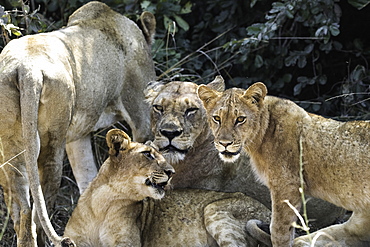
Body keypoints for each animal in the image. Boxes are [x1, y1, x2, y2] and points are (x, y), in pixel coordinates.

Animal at [0, 2, 156, 247]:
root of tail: (28, 69)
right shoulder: (142, 118)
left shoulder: (78, 137)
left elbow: (87, 178)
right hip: (52, 140)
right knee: (41, 206)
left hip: (11, 143)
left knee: (22, 211)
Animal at [63, 129, 272, 247]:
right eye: (148, 154)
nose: (171, 172)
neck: (103, 204)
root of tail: (268, 211)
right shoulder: (73, 240)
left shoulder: (126, 243)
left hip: (214, 209)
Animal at [198, 79, 370, 247]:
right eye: (217, 118)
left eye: (240, 119)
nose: (224, 143)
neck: (262, 135)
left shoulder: (286, 186)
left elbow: (279, 231)